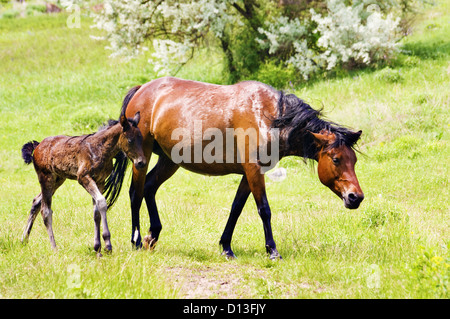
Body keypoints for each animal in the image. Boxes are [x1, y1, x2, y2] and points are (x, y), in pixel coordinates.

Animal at [21, 114, 146, 256]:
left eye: (141, 138)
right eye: (130, 140)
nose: (141, 163)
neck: (100, 149)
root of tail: (37, 146)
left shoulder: (100, 181)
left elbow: (96, 211)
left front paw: (98, 248)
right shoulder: (84, 178)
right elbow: (102, 202)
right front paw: (107, 245)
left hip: (58, 179)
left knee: (36, 201)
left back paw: (24, 240)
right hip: (46, 177)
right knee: (46, 211)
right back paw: (54, 248)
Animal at [121, 77, 364, 260]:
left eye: (353, 161)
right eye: (335, 159)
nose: (356, 197)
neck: (268, 116)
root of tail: (142, 89)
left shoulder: (250, 174)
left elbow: (236, 208)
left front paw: (226, 248)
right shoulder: (254, 170)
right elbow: (264, 209)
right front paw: (273, 251)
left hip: (170, 160)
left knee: (149, 188)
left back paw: (152, 236)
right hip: (142, 158)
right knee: (135, 193)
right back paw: (136, 241)